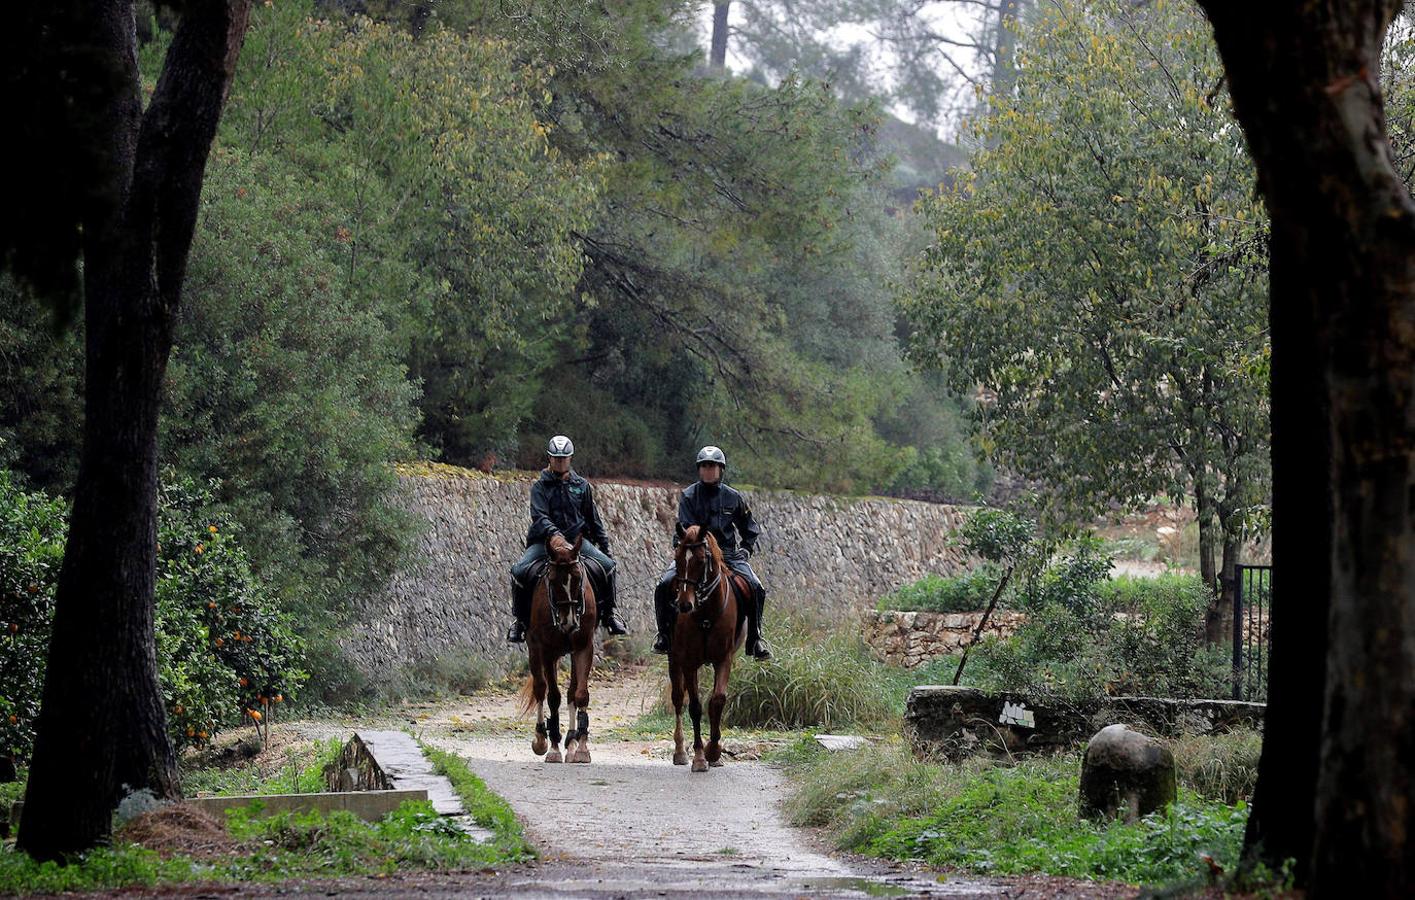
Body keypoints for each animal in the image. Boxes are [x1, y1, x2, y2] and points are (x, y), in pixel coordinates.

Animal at [520, 534, 597, 764]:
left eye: (578, 578)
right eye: (553, 581)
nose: (569, 622)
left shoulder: (584, 647)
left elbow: (580, 694)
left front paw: (581, 748)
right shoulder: (547, 650)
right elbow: (553, 697)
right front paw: (553, 747)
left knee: (571, 692)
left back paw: (571, 743)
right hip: (535, 650)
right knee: (540, 688)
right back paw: (541, 739)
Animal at [665, 526, 747, 775]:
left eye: (701, 561)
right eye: (677, 559)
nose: (684, 605)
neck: (706, 614)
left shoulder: (724, 659)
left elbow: (717, 700)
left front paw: (714, 750)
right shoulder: (689, 662)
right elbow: (695, 706)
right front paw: (700, 757)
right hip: (674, 659)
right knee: (678, 698)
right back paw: (680, 751)